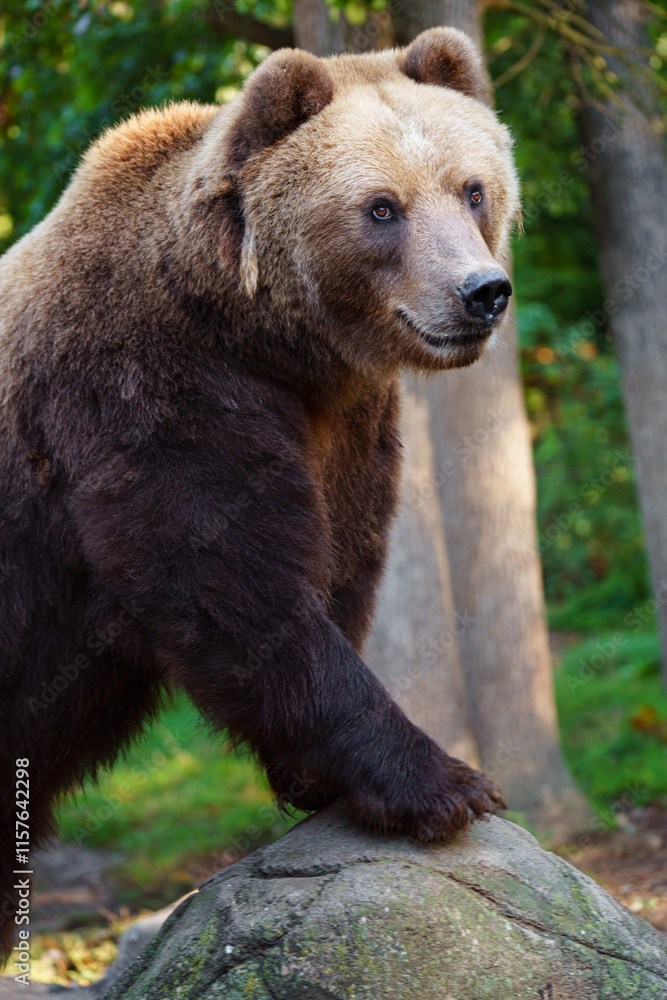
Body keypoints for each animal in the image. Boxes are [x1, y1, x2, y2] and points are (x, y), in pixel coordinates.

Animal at [0, 27, 519, 960]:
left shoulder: (342, 427)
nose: (480, 292)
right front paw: (443, 783)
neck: (266, 341)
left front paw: (319, 777)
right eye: (381, 207)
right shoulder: (141, 385)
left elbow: (337, 561)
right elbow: (227, 584)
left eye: (472, 188)